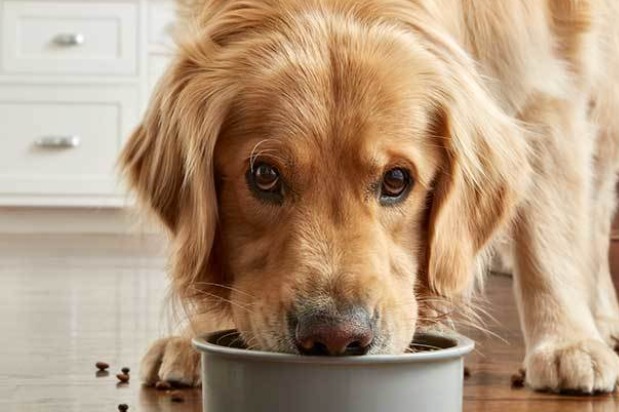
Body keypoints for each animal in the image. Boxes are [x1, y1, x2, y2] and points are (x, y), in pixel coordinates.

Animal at [122, 0, 619, 392]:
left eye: (397, 180)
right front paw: (193, 337)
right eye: (264, 175)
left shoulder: (541, 85)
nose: (334, 337)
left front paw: (567, 341)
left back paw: (601, 319)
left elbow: (550, 238)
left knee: (593, 216)